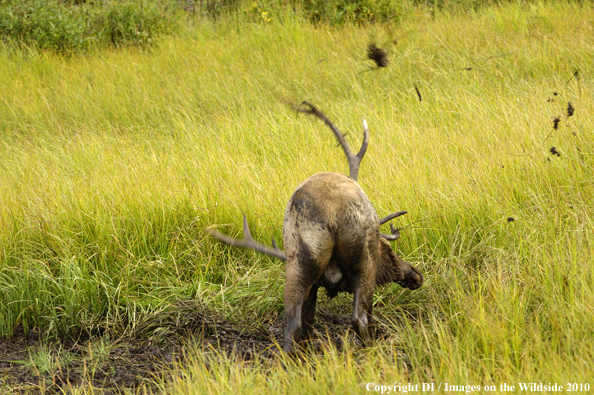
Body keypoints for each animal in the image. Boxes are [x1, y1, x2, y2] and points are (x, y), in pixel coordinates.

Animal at [208, 101, 420, 352]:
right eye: (387, 249)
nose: (415, 274)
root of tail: (331, 210)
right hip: (363, 261)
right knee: (359, 318)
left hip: (299, 262)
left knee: (294, 325)